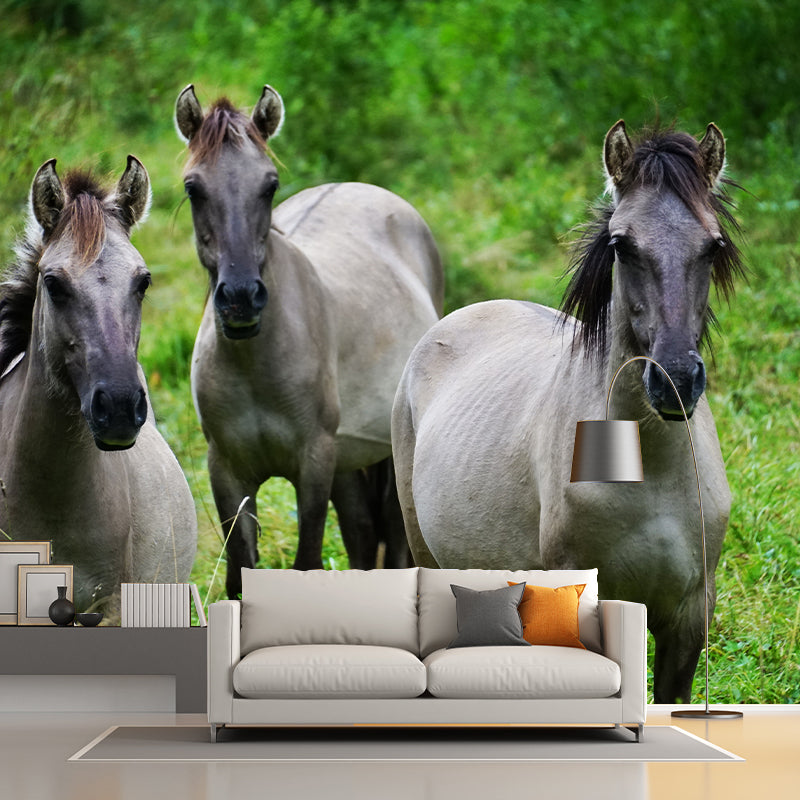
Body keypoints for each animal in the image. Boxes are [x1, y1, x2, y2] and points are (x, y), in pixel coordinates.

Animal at [174, 85, 443, 597]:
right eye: (193, 188)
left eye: (269, 184)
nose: (241, 298)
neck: (256, 363)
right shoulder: (227, 472)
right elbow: (240, 572)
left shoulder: (314, 463)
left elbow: (306, 563)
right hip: (348, 461)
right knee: (362, 535)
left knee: (394, 537)